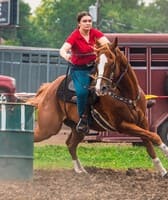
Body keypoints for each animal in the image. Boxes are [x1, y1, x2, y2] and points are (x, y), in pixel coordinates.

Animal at [28, 37, 168, 177]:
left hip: (78, 129)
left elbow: (149, 143)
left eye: (112, 62)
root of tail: (48, 88)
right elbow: (154, 136)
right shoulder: (123, 125)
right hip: (48, 128)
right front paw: (166, 150)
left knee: (71, 145)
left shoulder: (142, 122)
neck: (128, 97)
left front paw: (162, 171)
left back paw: (80, 170)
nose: (100, 88)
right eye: (96, 63)